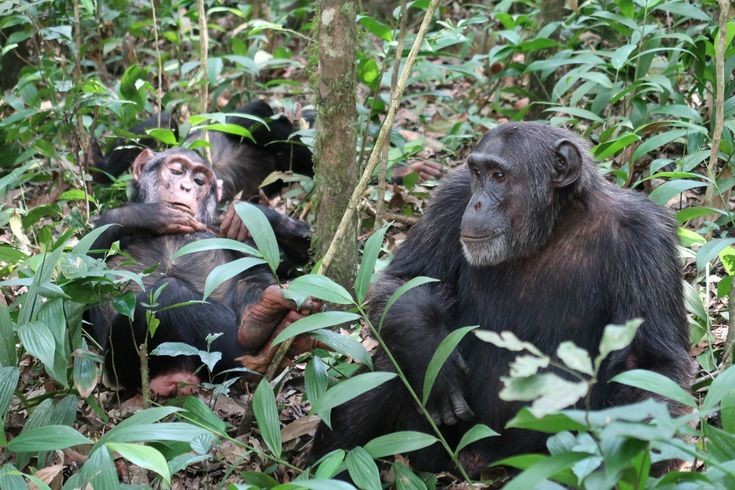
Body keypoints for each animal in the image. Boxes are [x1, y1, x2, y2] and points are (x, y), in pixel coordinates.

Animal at [87, 147, 318, 396]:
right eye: (176, 171)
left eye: (199, 181)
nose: (186, 187)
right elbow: (78, 285)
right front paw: (147, 214)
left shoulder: (236, 235)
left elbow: (296, 262)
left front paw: (251, 212)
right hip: (120, 368)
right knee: (161, 296)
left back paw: (263, 322)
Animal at [314, 122, 692, 474]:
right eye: (477, 173)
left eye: (499, 175)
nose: (477, 202)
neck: (553, 226)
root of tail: (480, 461)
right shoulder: (451, 198)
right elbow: (402, 282)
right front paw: (433, 357)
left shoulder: (646, 237)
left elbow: (649, 361)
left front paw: (625, 448)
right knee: (391, 361)